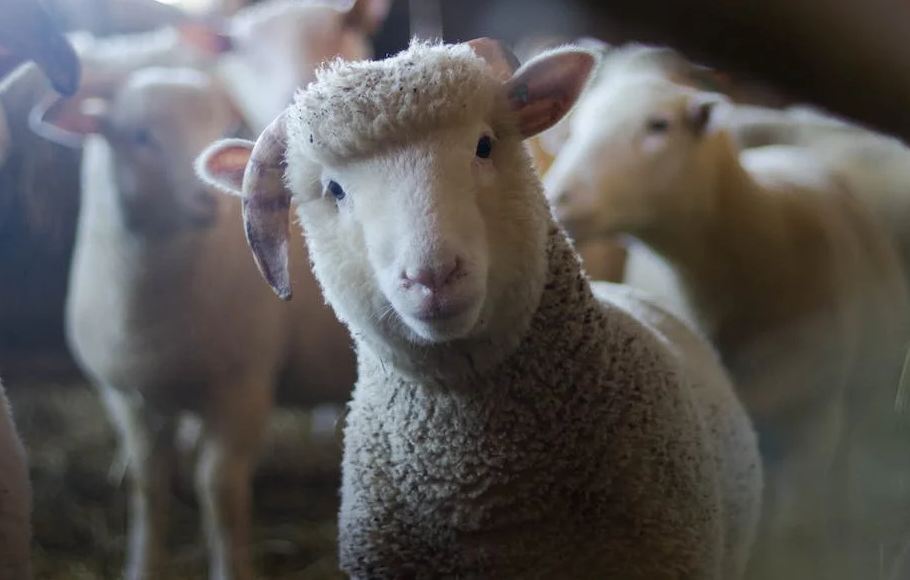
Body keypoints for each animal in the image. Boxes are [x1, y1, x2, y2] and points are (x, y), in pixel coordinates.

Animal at [36, 67, 356, 580]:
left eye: (223, 124)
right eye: (140, 136)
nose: (209, 199)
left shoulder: (244, 386)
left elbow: (219, 488)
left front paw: (232, 569)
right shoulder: (125, 396)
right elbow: (147, 483)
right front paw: (141, 565)